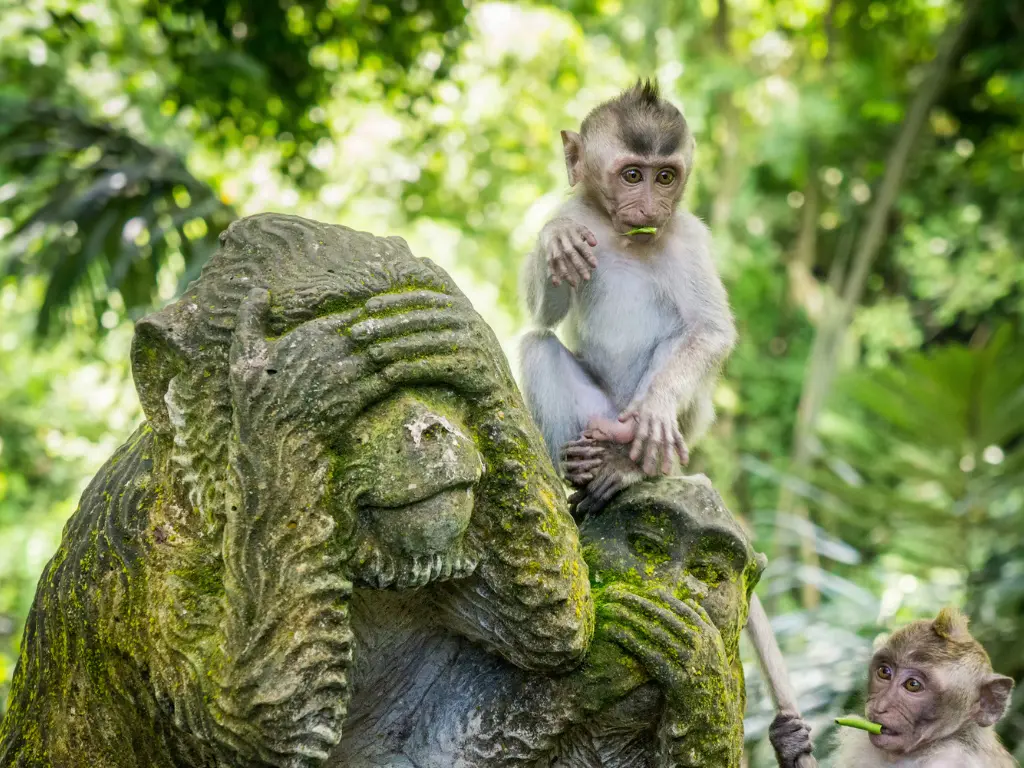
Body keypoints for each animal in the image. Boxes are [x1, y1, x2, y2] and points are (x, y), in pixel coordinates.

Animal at [520, 78, 737, 514]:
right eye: (633, 175)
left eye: (666, 177)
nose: (651, 208)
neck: (623, 237)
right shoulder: (574, 211)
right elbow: (543, 315)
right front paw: (555, 238)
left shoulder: (689, 239)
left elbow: (711, 330)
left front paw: (657, 407)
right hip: (594, 412)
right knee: (536, 344)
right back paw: (578, 467)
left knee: (681, 342)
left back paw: (631, 465)